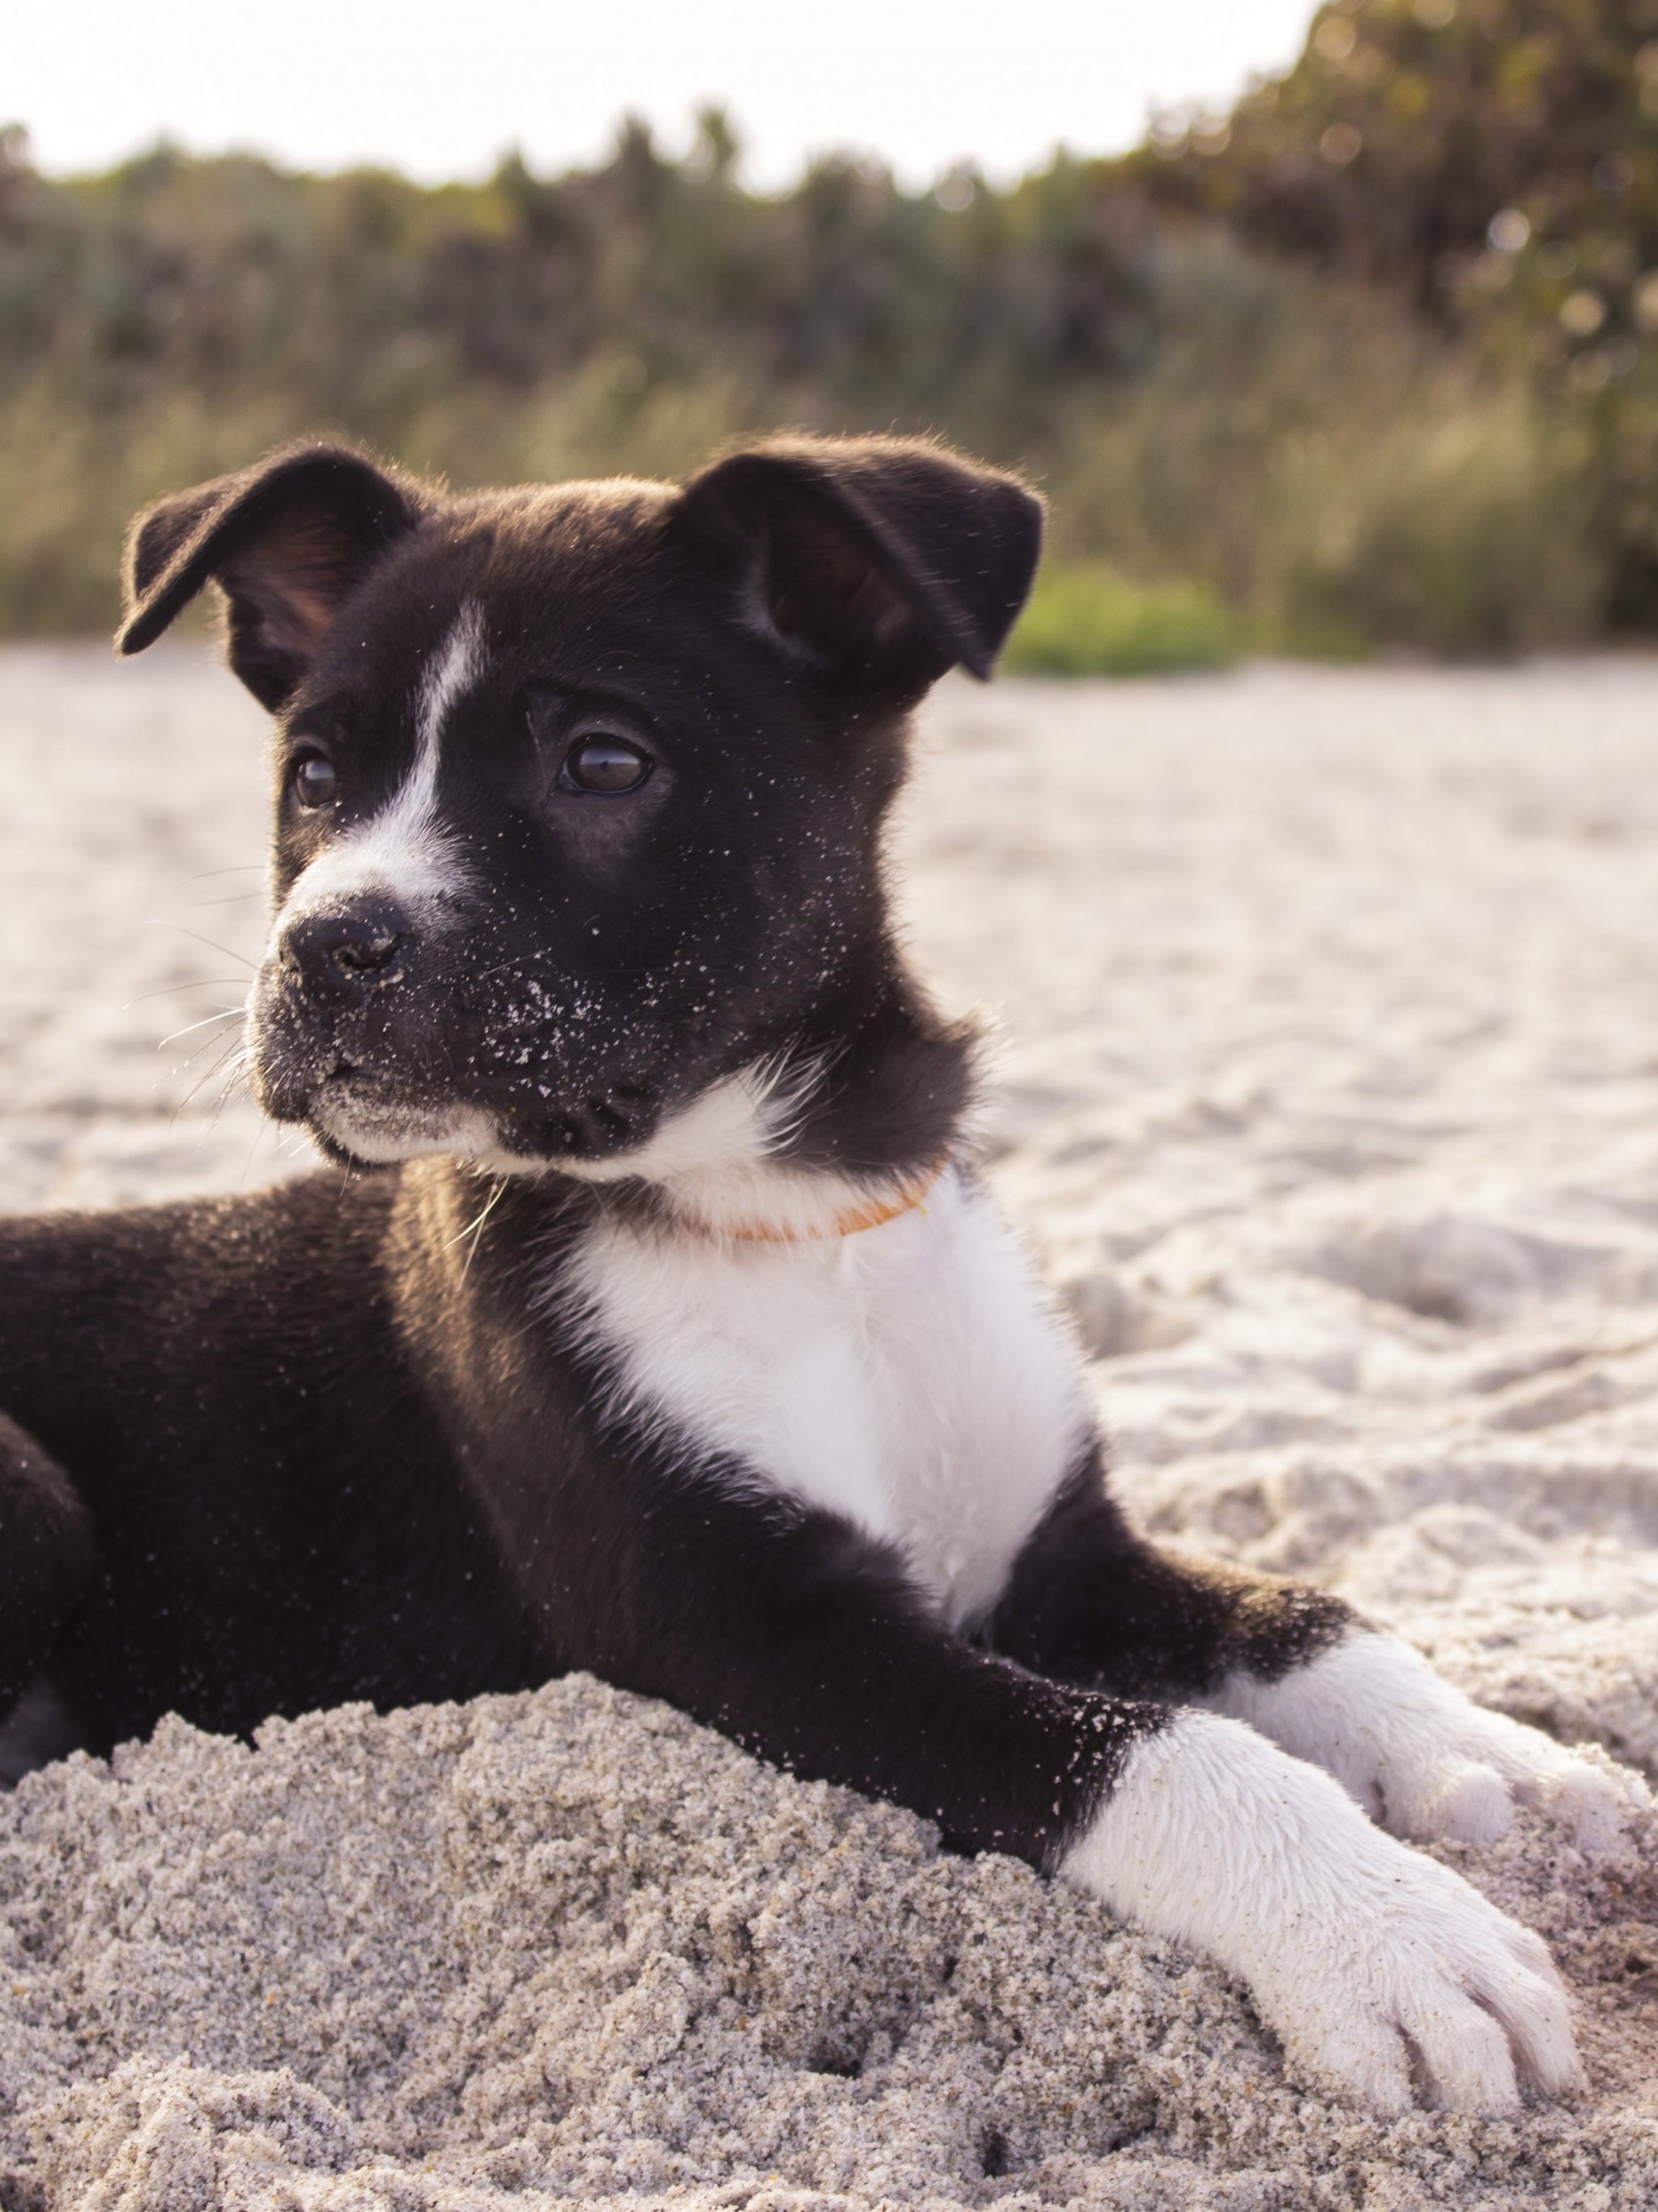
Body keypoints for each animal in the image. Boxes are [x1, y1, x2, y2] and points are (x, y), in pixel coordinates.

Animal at [0, 431, 1653, 2105]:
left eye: (603, 763)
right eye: (316, 779)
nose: (328, 945)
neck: (786, 1211)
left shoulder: (1057, 1548)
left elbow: (1298, 1611)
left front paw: (1495, 1752)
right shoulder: (756, 1627)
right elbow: (1152, 1746)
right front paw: (1386, 1935)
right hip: (37, 1491)